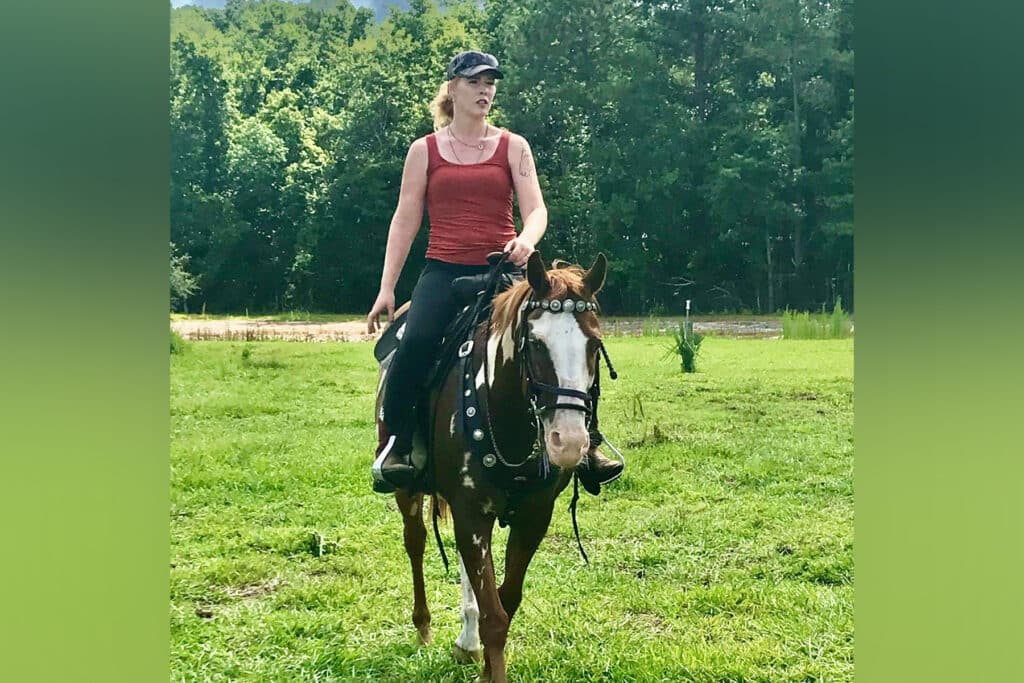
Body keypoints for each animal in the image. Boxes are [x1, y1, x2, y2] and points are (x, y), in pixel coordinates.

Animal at [385, 252, 606, 683]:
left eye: (595, 344)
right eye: (535, 343)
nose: (569, 442)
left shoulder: (533, 516)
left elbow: (506, 600)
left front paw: (483, 662)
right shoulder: (472, 513)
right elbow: (495, 616)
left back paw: (466, 642)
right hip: (408, 490)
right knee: (415, 541)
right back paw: (424, 628)